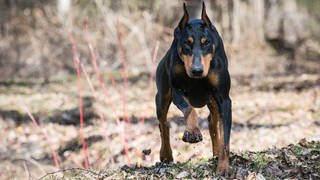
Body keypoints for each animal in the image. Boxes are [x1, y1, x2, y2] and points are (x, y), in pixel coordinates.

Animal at [154, 2, 231, 174]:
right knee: (163, 124)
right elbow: (189, 109)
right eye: (186, 44)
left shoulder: (224, 99)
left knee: (212, 121)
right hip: (162, 96)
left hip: (213, 100)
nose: (197, 70)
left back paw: (216, 153)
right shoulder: (177, 90)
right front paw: (193, 132)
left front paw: (223, 167)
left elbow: (225, 137)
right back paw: (166, 155)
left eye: (206, 42)